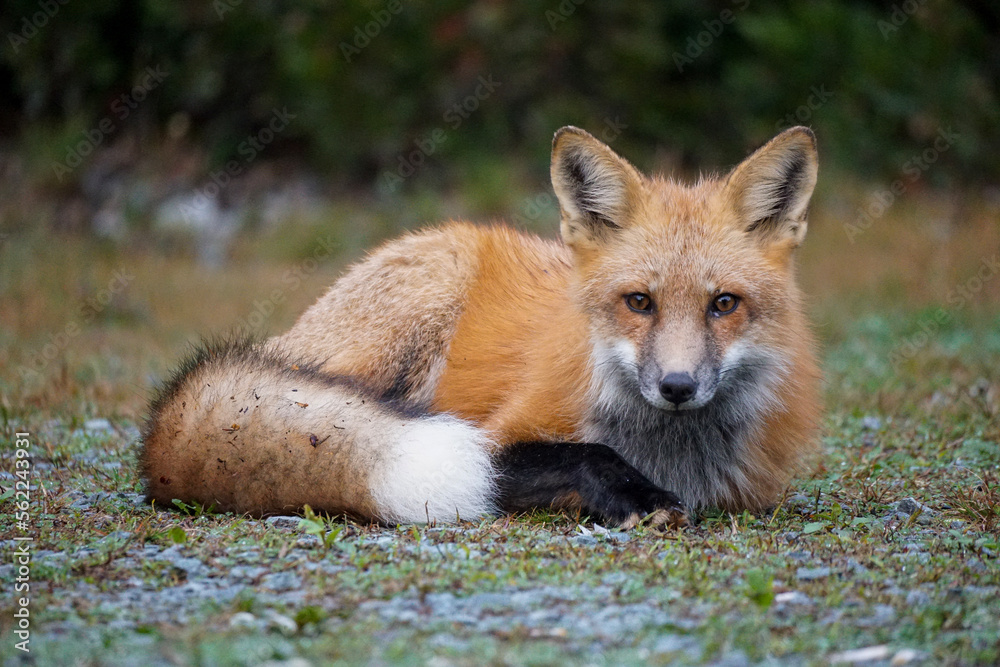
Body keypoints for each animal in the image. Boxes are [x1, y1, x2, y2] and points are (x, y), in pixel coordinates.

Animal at [141, 125, 821, 529]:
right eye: (639, 302)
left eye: (724, 304)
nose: (677, 386)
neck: (670, 452)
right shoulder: (491, 437)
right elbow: (585, 453)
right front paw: (634, 497)